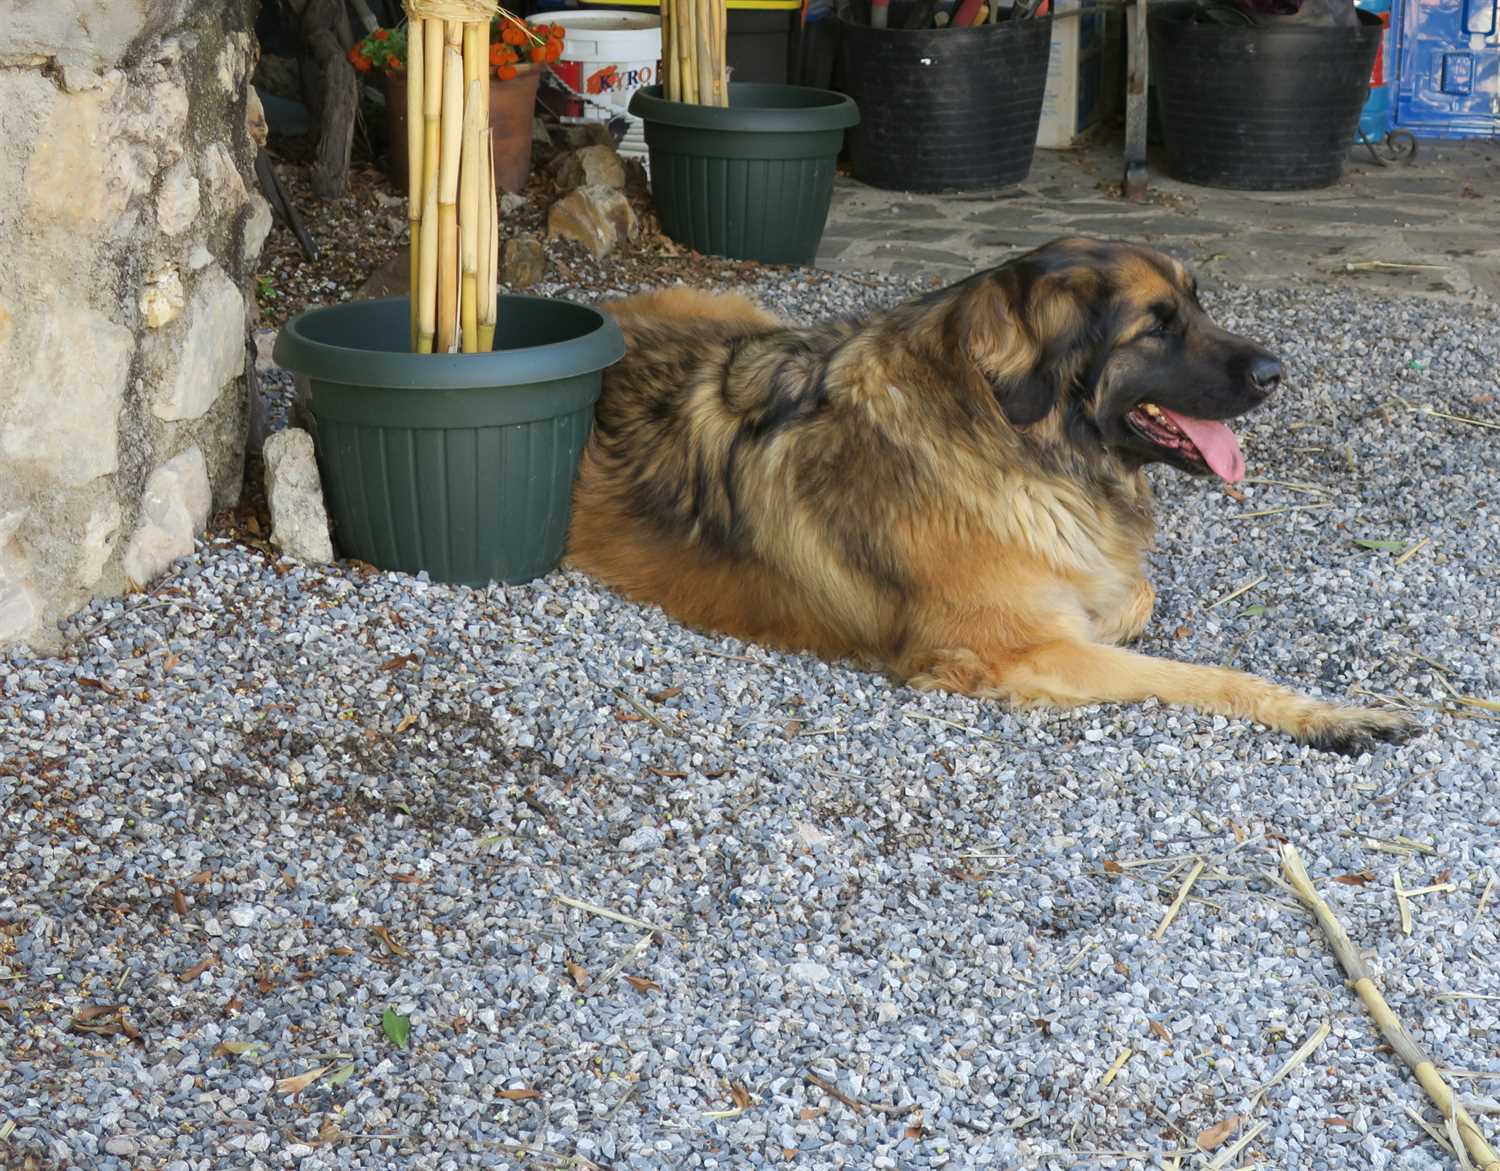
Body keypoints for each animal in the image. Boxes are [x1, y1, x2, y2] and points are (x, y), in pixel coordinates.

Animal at [567, 235, 1410, 758]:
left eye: (1198, 307)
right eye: (1155, 326)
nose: (1275, 372)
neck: (1011, 436)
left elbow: (1133, 591)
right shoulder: (1008, 651)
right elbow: (1199, 672)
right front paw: (1328, 715)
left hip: (756, 322)